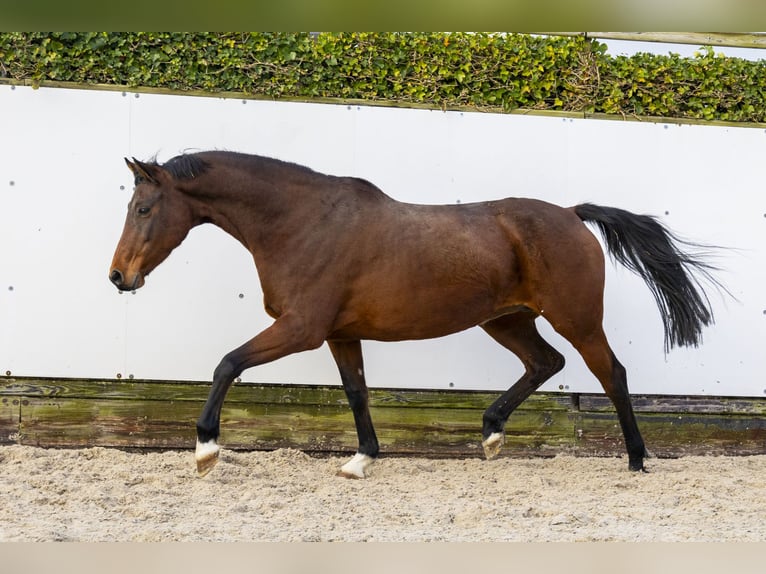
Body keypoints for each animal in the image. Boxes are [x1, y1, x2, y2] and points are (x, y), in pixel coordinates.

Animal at [108, 151, 720, 480]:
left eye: (144, 207)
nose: (118, 276)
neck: (302, 223)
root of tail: (571, 214)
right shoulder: (338, 334)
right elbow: (356, 392)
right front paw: (361, 461)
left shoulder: (301, 329)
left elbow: (227, 364)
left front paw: (205, 450)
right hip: (507, 319)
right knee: (546, 363)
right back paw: (491, 434)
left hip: (576, 318)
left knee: (610, 373)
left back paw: (636, 459)